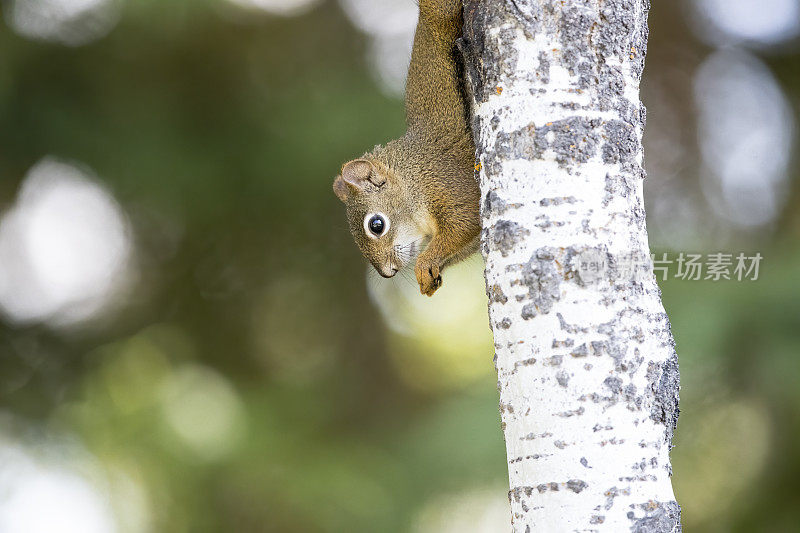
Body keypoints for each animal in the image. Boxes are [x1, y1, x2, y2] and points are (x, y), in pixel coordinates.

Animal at [330, 0, 478, 298]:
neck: (412, 175)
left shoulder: (448, 183)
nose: (388, 273)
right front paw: (430, 276)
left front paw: (425, 261)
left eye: (376, 225)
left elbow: (466, 221)